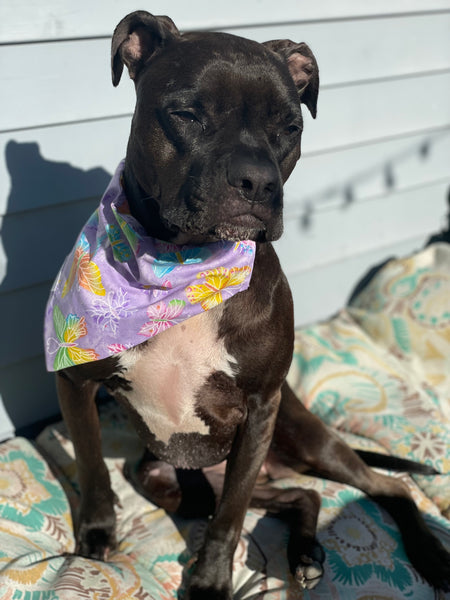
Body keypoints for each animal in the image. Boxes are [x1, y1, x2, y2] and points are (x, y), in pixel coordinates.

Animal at [50, 11, 450, 596]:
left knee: (386, 487)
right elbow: (93, 467)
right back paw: (305, 550)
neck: (186, 264)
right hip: (166, 479)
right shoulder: (76, 381)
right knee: (300, 495)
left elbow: (231, 519)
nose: (258, 182)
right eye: (187, 113)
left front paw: (211, 581)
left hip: (303, 439)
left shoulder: (260, 409)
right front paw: (98, 534)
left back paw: (426, 554)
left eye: (290, 128)